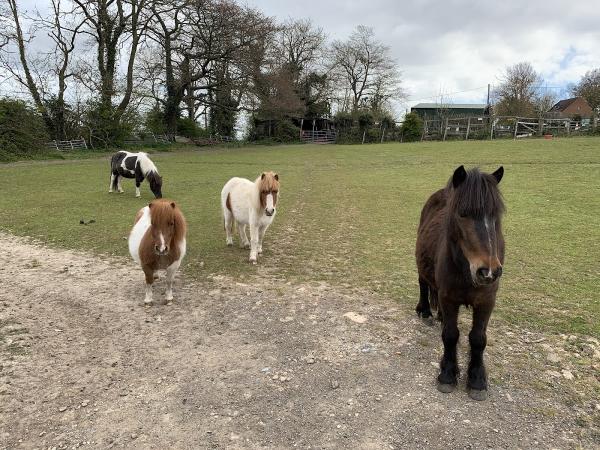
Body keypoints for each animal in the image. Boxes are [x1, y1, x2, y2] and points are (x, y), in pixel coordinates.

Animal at [414, 165, 504, 400]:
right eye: (462, 214)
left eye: (496, 215)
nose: (488, 271)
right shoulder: (449, 298)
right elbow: (451, 335)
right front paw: (447, 374)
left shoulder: (487, 301)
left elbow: (478, 338)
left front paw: (477, 380)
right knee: (423, 283)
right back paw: (425, 311)